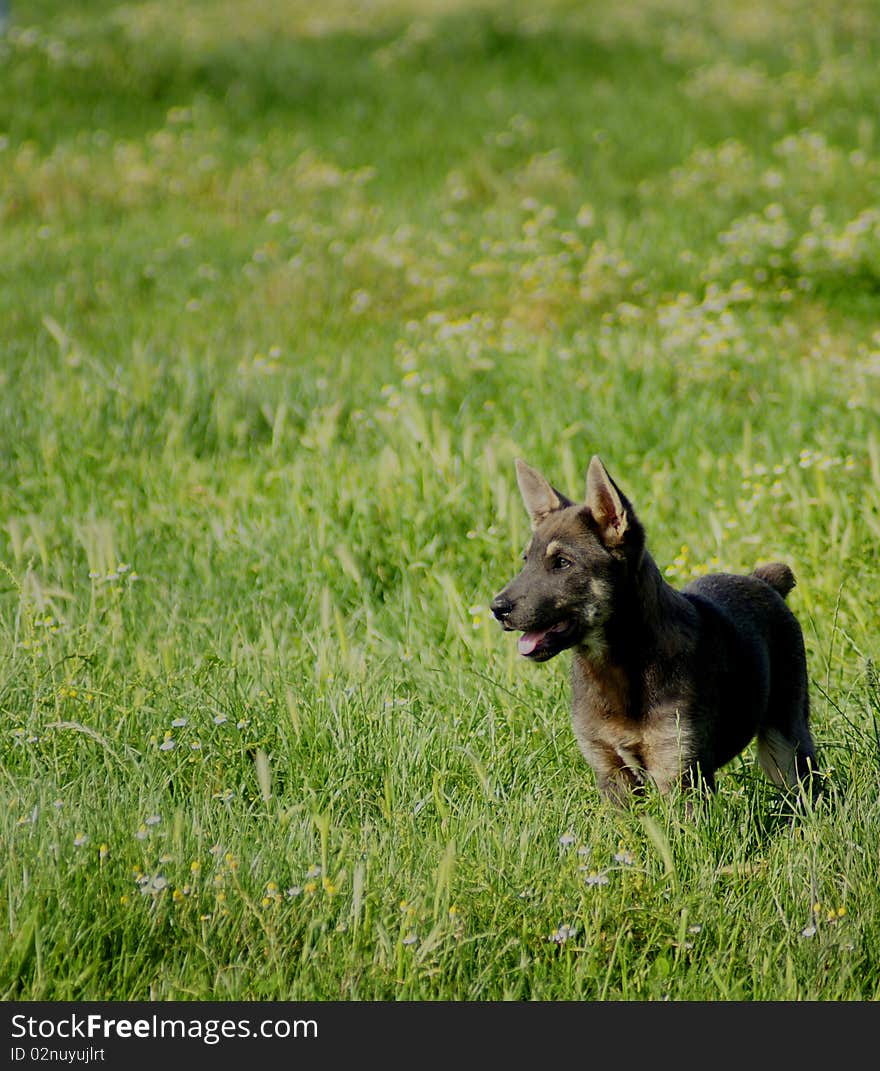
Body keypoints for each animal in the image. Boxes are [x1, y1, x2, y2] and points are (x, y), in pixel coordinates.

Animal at [492, 454, 822, 805]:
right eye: (526, 560)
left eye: (562, 563)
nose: (497, 608)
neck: (618, 665)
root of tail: (763, 580)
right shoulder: (610, 771)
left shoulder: (679, 772)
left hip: (786, 740)